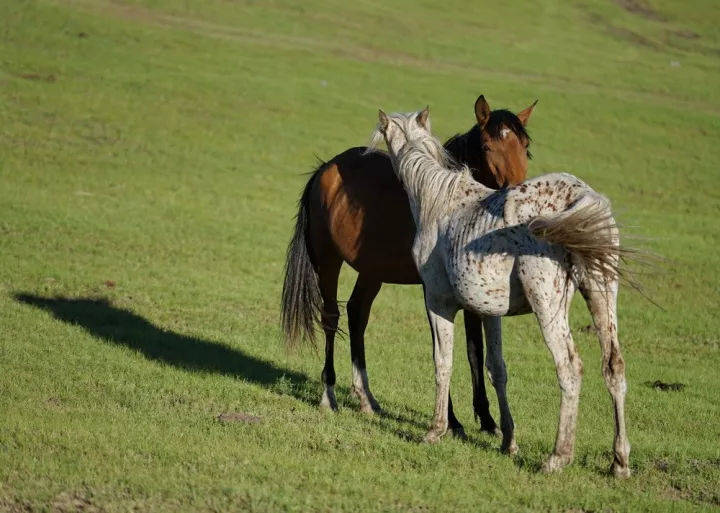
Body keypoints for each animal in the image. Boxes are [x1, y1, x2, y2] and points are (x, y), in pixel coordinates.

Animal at [282, 96, 536, 436]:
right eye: (486, 146)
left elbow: (474, 351)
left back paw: (366, 398)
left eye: (525, 145)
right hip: (328, 260)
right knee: (331, 317)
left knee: (356, 315)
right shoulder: (433, 291)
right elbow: (440, 350)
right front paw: (452, 422)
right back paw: (329, 395)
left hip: (372, 270)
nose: (518, 193)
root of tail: (325, 169)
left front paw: (487, 420)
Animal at [376, 108, 632, 476]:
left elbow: (443, 362)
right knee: (614, 366)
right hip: (602, 296)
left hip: (549, 307)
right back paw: (619, 462)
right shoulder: (489, 312)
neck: (439, 201)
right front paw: (508, 440)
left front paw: (436, 430)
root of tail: (581, 197)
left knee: (570, 369)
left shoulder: (438, 303)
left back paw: (557, 457)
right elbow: (497, 368)